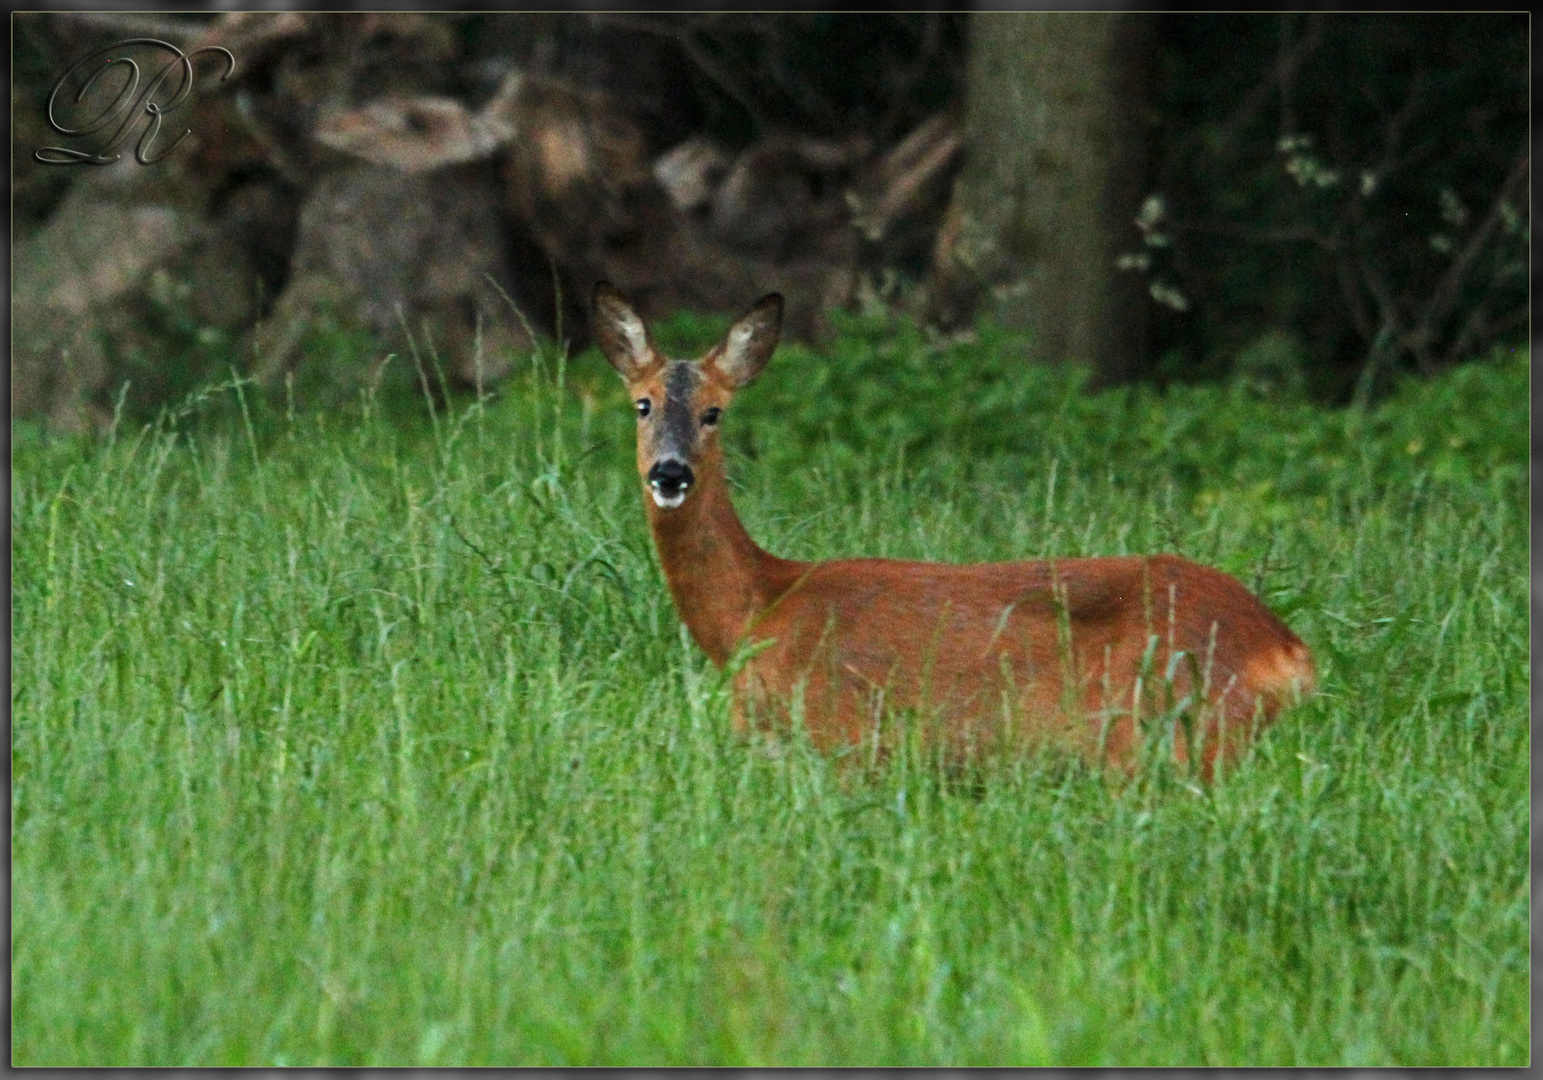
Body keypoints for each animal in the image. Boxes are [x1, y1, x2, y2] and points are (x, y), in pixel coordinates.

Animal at [589, 285, 1314, 777]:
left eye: (713, 412)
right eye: (642, 405)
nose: (670, 472)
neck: (755, 612)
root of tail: (1288, 653)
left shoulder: (839, 738)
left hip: (1158, 730)